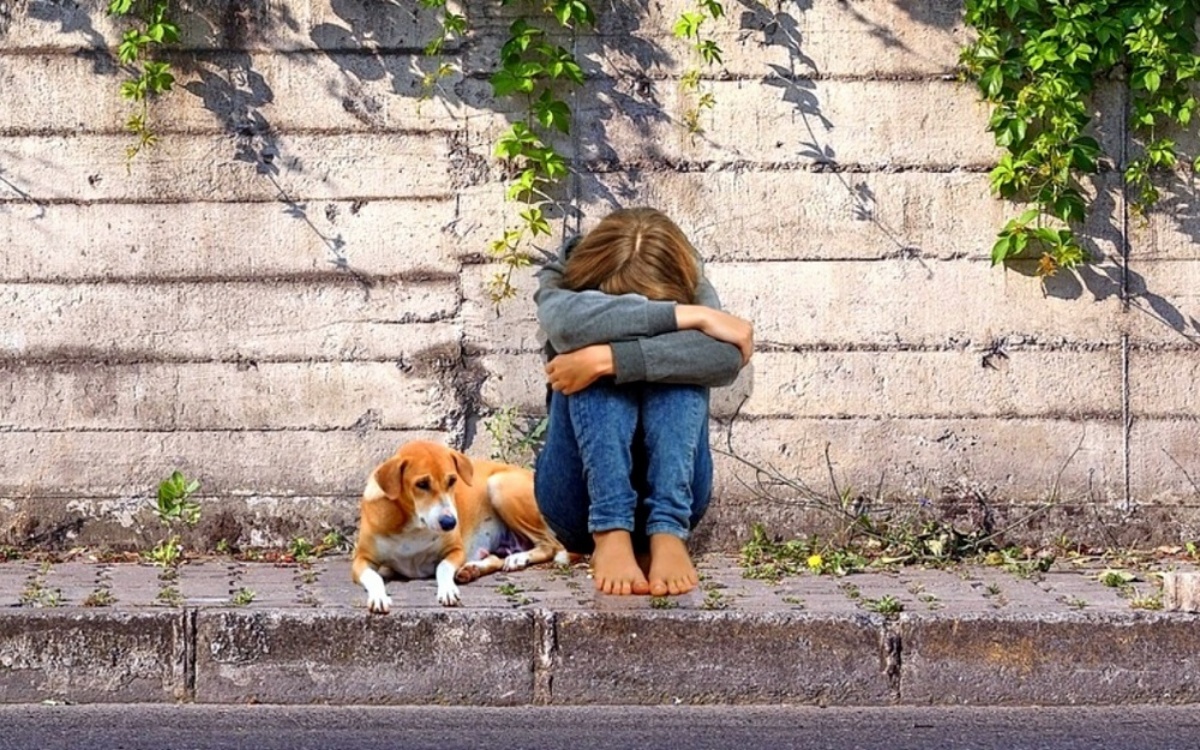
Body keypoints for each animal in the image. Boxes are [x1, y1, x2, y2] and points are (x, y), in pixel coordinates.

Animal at [350, 439, 566, 609]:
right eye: (422, 484)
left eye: (453, 480)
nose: (450, 523)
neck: (413, 526)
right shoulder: (361, 560)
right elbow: (375, 576)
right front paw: (379, 597)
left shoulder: (455, 550)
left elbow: (442, 567)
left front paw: (447, 590)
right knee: (497, 558)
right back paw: (473, 569)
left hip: (498, 485)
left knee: (551, 545)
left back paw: (518, 558)